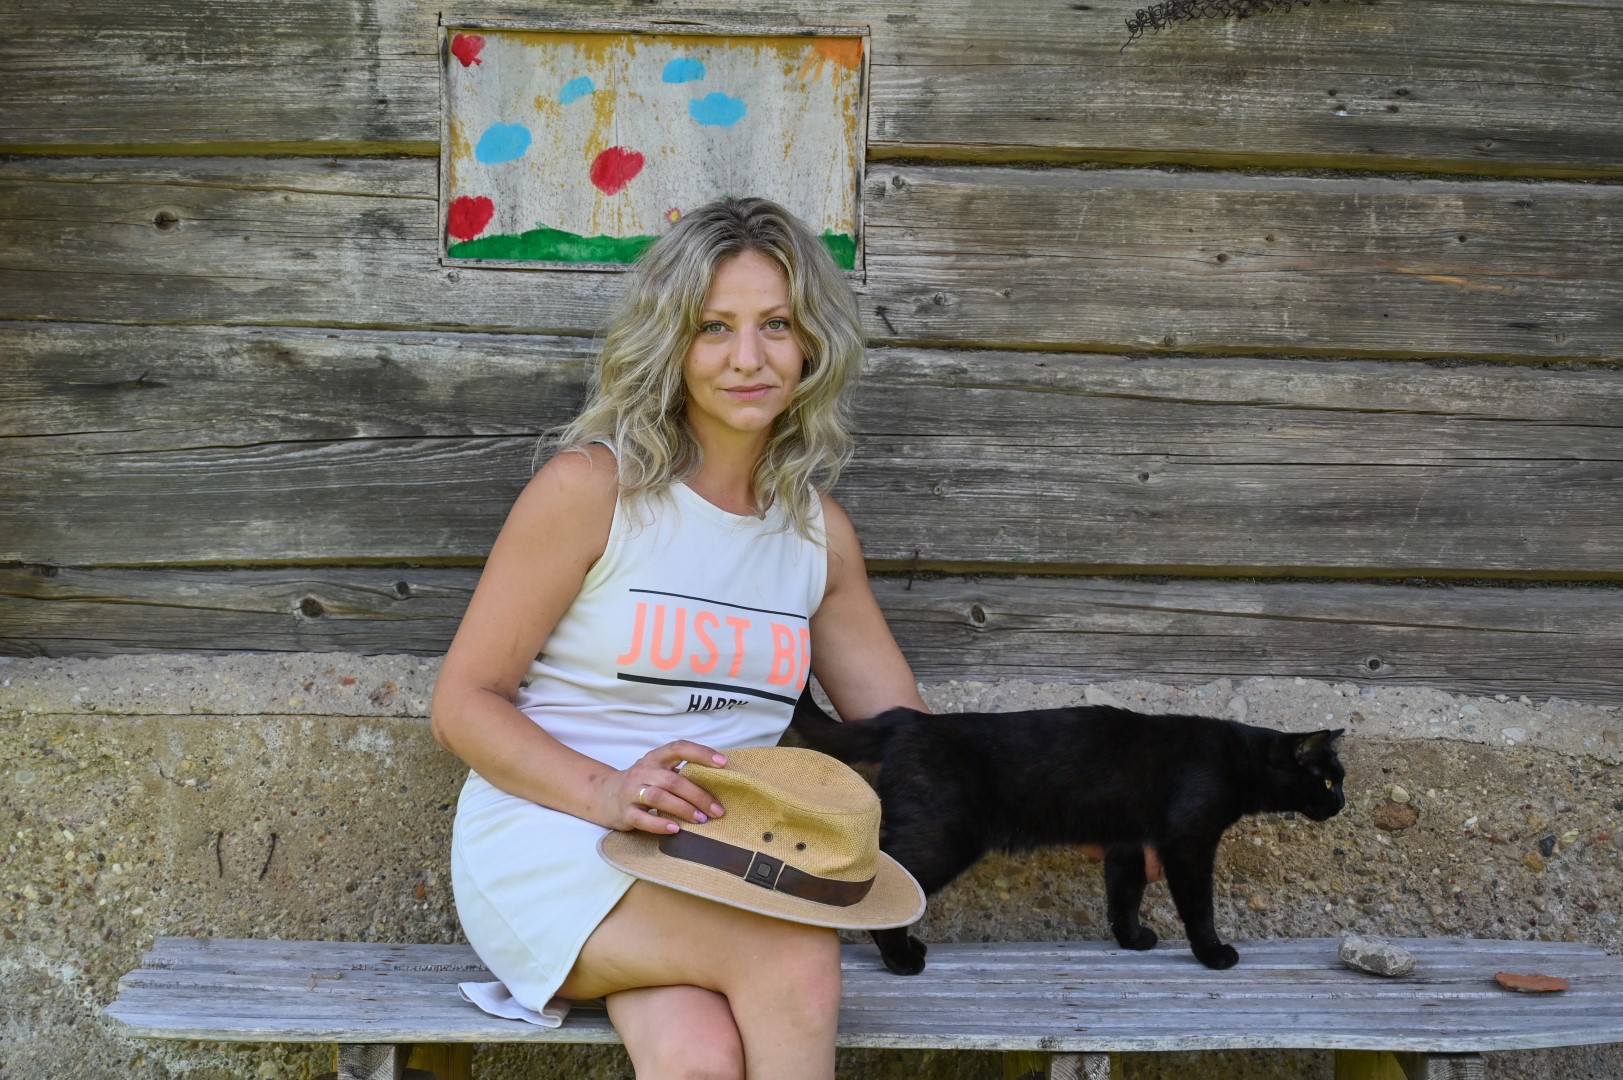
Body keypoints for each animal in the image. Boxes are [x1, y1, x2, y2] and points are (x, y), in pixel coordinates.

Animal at [789, 690, 1345, 974]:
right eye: (1327, 779)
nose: (1341, 802)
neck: (1237, 757)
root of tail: (907, 720)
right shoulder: (1188, 843)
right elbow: (1198, 907)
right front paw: (1213, 954)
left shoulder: (1129, 843)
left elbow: (1124, 896)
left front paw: (1132, 939)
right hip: (943, 836)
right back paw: (900, 957)